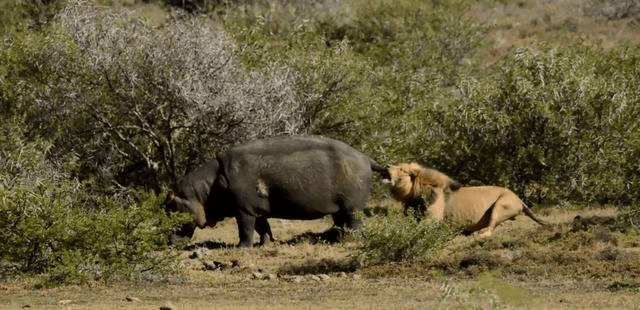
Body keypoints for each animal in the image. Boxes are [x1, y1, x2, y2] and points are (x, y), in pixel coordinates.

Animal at [382, 162, 548, 235]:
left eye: (401, 169)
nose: (387, 166)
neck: (413, 195)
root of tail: (520, 200)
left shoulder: (433, 218)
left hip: (501, 204)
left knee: (490, 228)